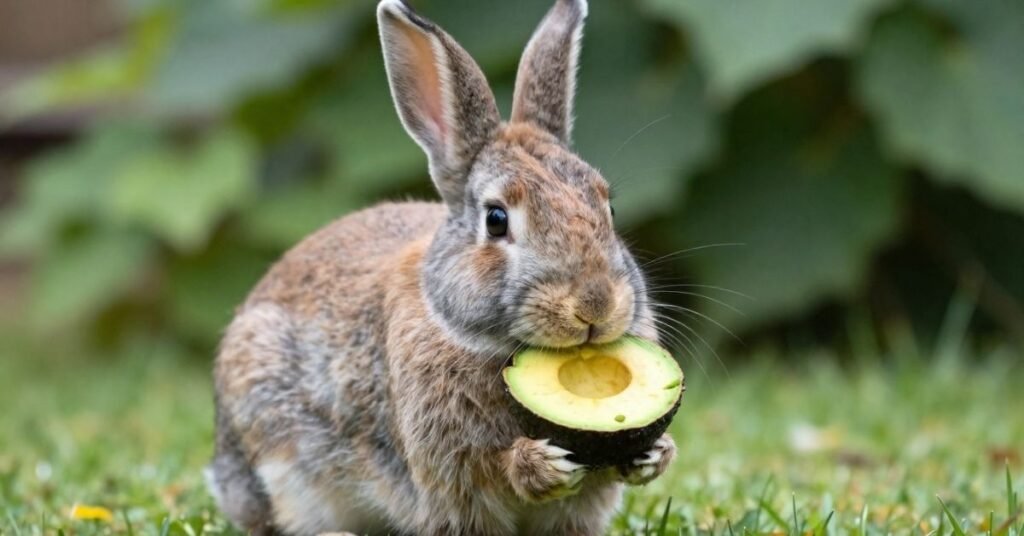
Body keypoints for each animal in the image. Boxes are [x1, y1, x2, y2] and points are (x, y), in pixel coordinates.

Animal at [206, 0, 678, 534]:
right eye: (496, 220)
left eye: (608, 208)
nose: (594, 305)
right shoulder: (451, 466)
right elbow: (491, 468)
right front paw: (540, 463)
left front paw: (656, 454)